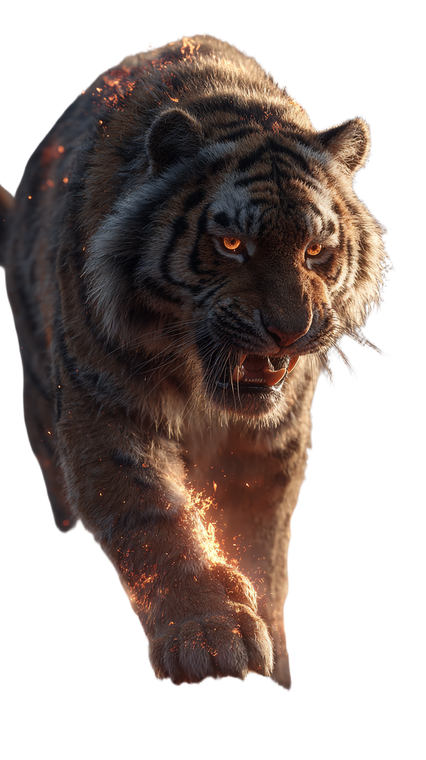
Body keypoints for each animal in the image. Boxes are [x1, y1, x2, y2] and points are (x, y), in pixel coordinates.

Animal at [0, 33, 391, 689]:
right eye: (232, 245)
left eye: (316, 251)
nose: (289, 331)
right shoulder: (105, 408)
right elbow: (155, 519)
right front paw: (210, 639)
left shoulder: (271, 442)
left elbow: (258, 546)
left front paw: (270, 650)